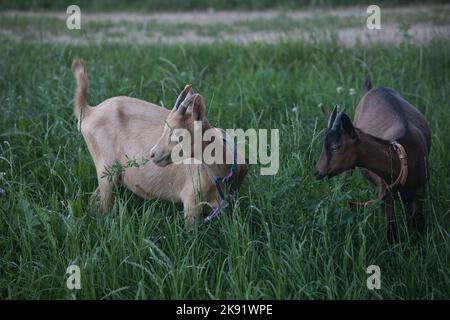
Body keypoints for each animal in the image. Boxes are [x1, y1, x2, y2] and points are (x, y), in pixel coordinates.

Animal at [314, 78, 430, 242]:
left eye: (336, 147)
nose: (317, 172)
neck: (404, 161)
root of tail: (371, 89)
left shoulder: (420, 193)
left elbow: (417, 224)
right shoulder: (385, 196)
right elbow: (391, 230)